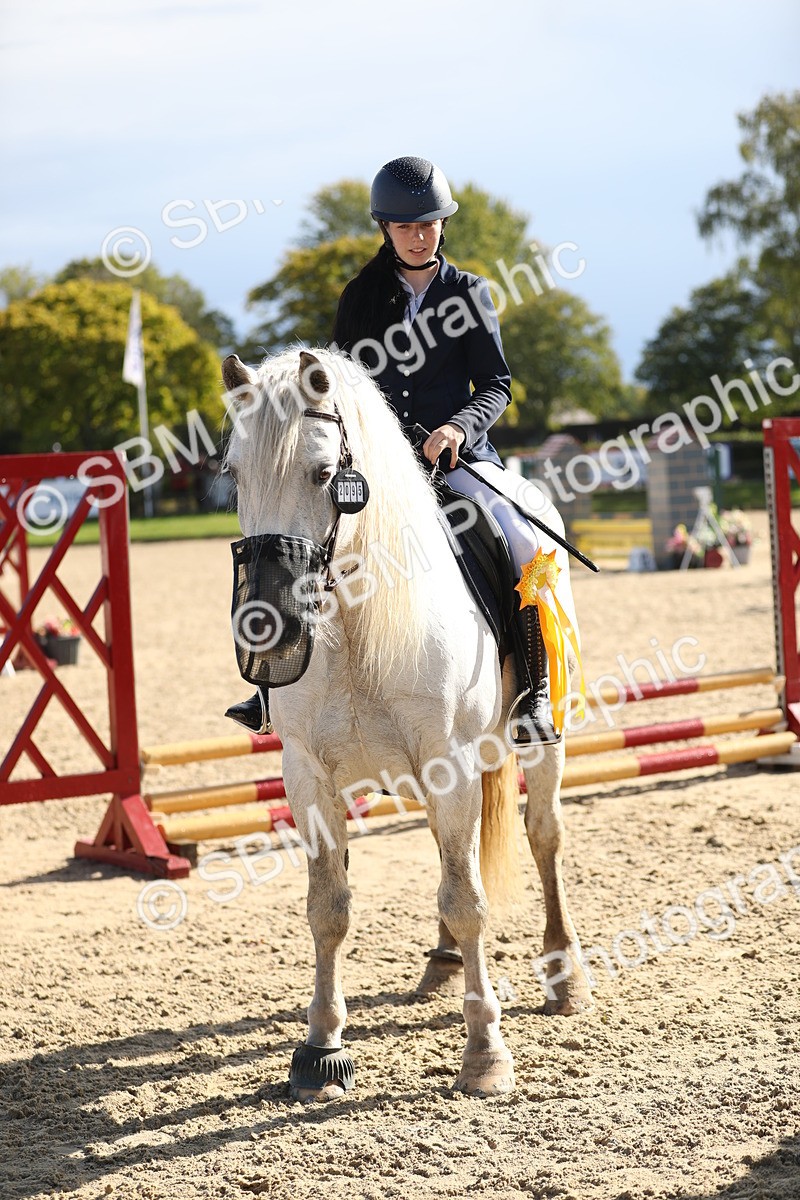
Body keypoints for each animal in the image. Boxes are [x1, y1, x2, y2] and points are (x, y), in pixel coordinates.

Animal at [222, 346, 593, 1101]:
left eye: (323, 473)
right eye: (234, 473)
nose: (268, 629)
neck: (356, 625)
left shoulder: (449, 763)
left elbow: (469, 899)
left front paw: (485, 1053)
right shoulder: (308, 774)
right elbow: (329, 907)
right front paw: (321, 1047)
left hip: (541, 740)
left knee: (543, 836)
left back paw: (563, 972)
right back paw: (443, 965)